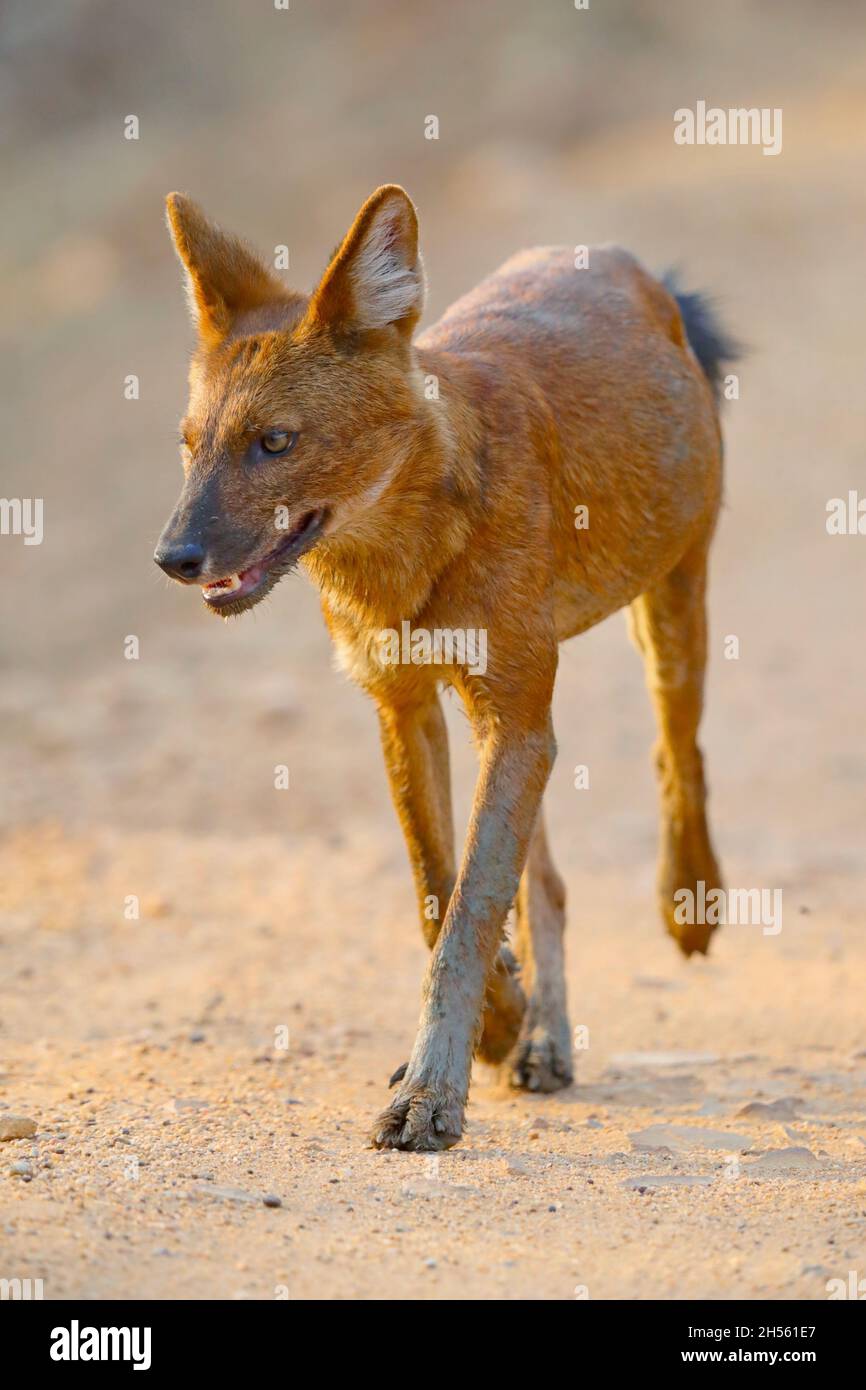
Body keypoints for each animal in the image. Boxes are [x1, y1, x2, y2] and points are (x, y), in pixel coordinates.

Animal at [157, 190, 739, 1156]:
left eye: (274, 442)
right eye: (190, 444)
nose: (173, 557)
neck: (401, 561)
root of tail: (625, 262)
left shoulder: (512, 714)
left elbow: (469, 907)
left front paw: (432, 1093)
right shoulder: (406, 704)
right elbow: (440, 889)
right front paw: (495, 1026)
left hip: (671, 607)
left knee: (678, 755)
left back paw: (687, 910)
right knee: (546, 877)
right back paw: (542, 1038)